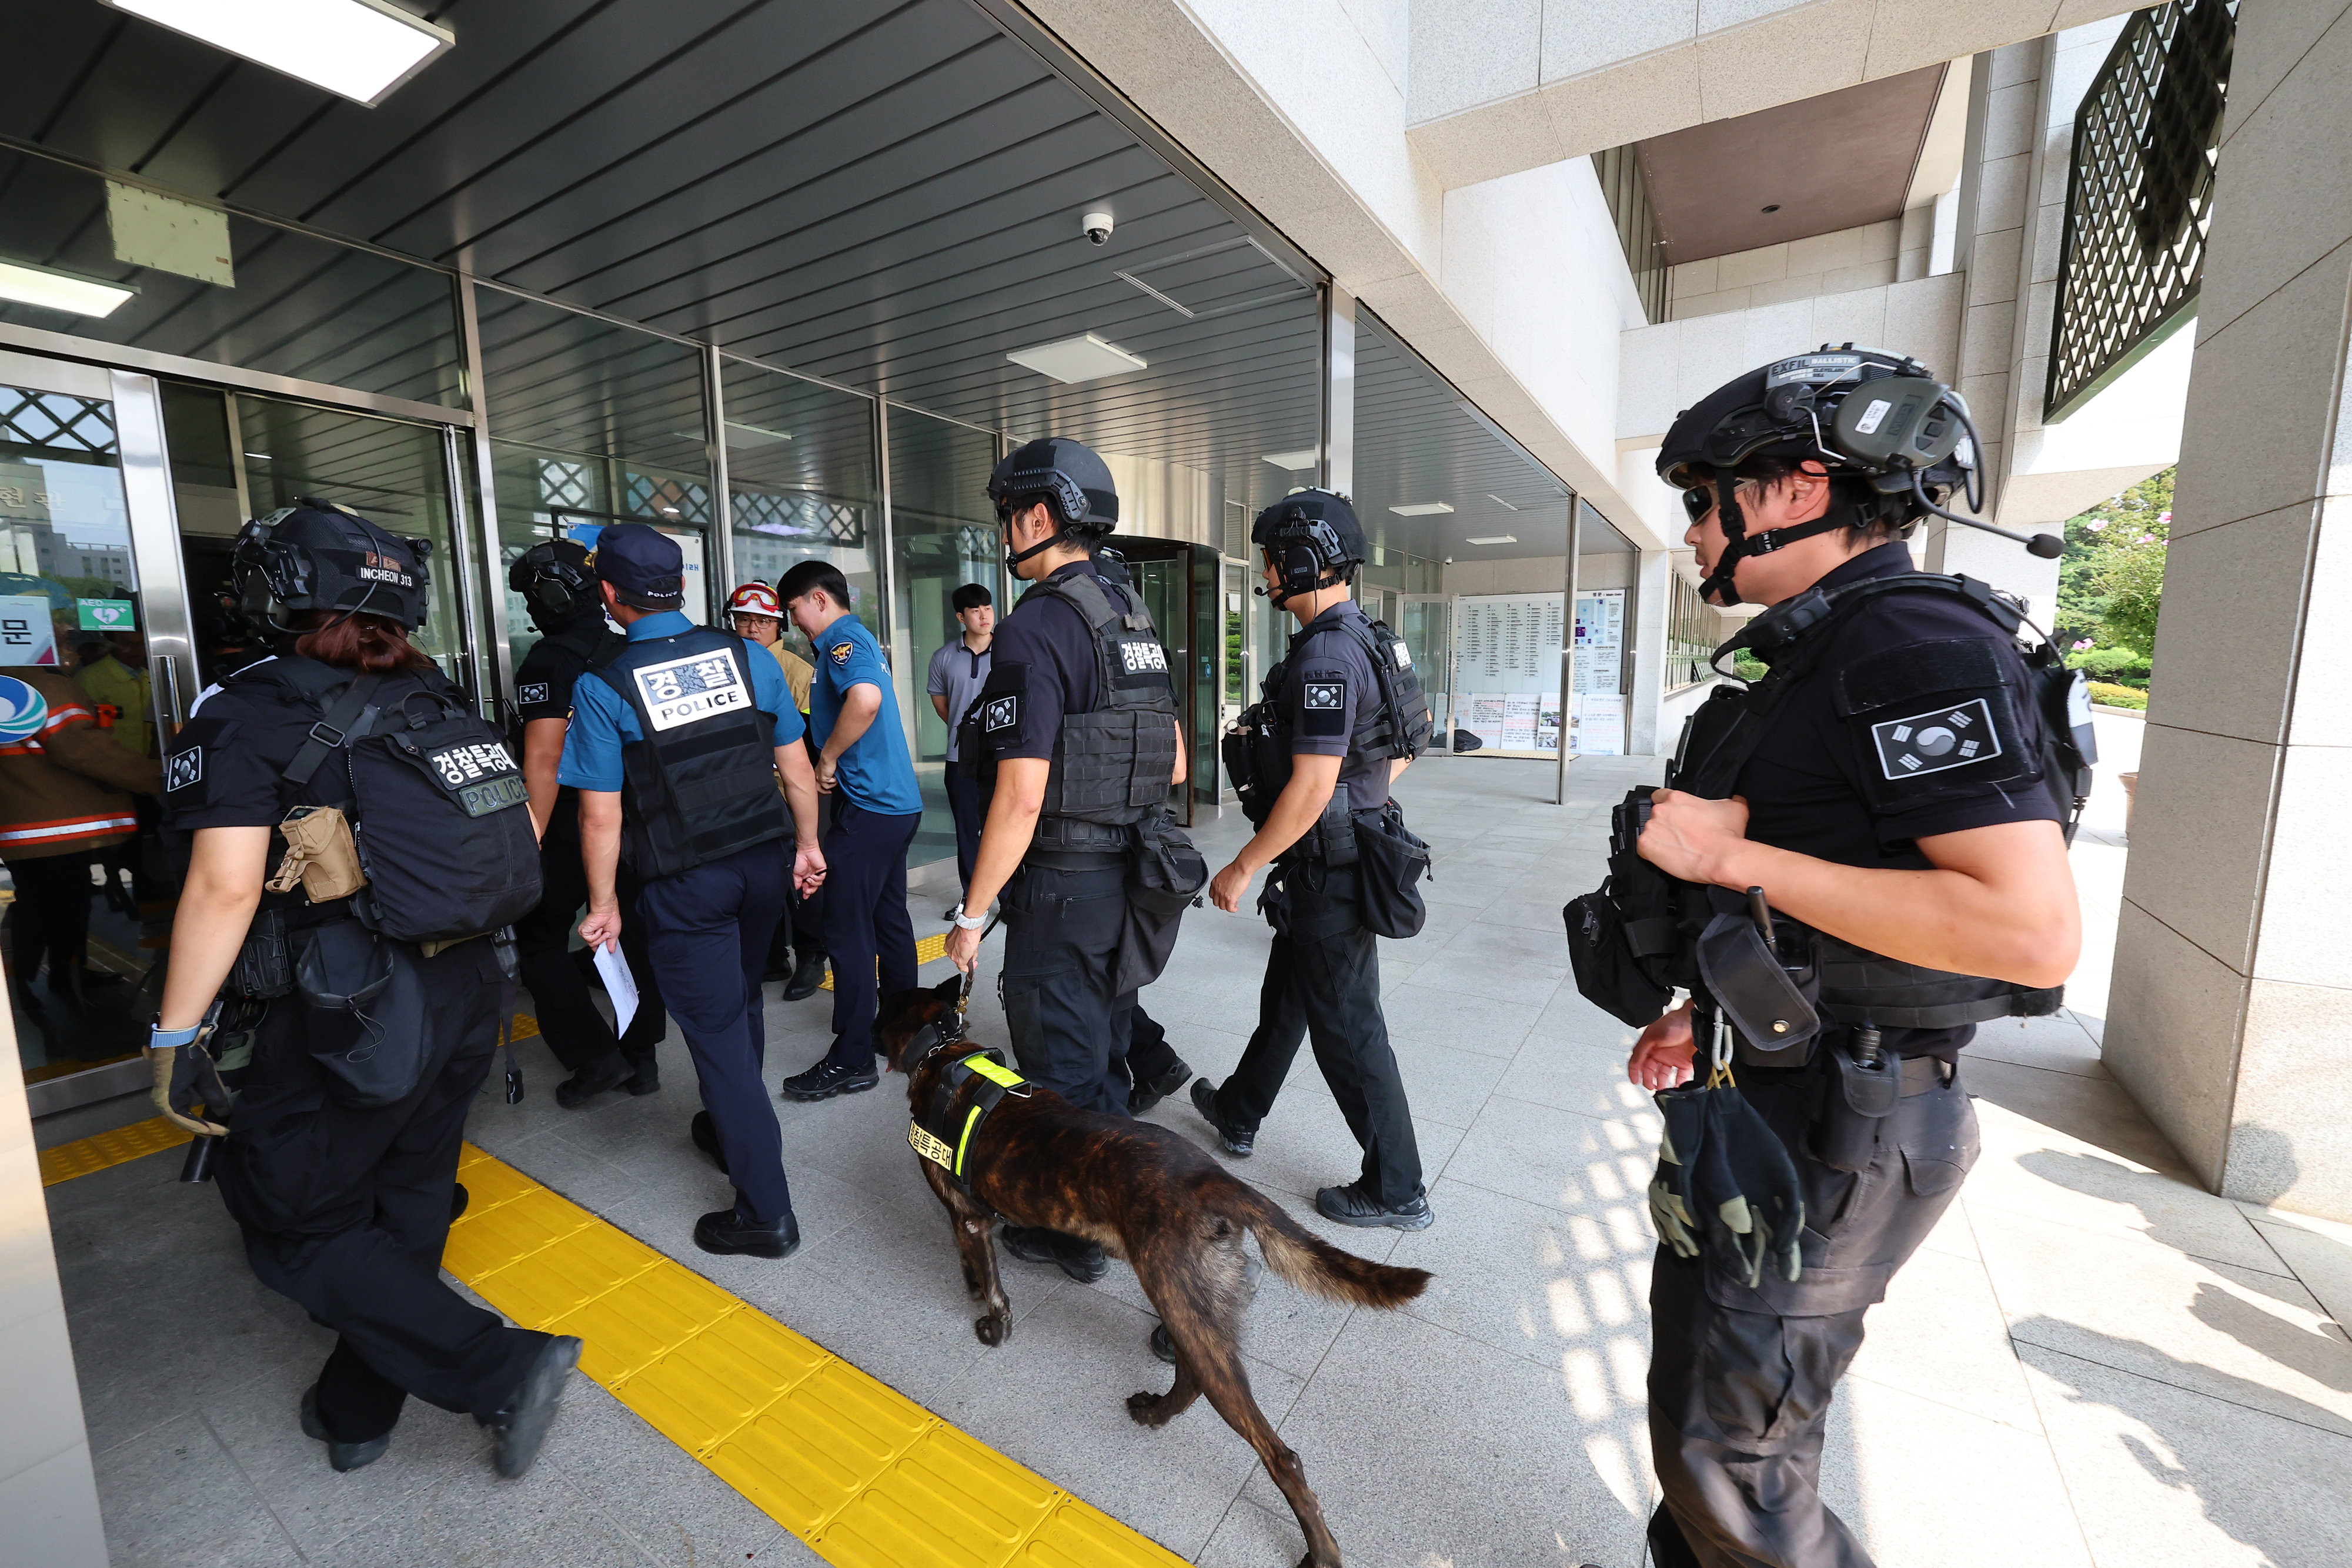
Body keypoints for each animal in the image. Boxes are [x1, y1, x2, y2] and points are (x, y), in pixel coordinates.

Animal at [884, 982, 1430, 1568]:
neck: (942, 1052)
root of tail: (1212, 1178)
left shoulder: (965, 1214)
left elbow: (987, 1278)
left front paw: (988, 1318)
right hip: (1193, 1302)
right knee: (1193, 1375)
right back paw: (1157, 1413)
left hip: (1179, 1299)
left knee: (1276, 1451)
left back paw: (1322, 1548)